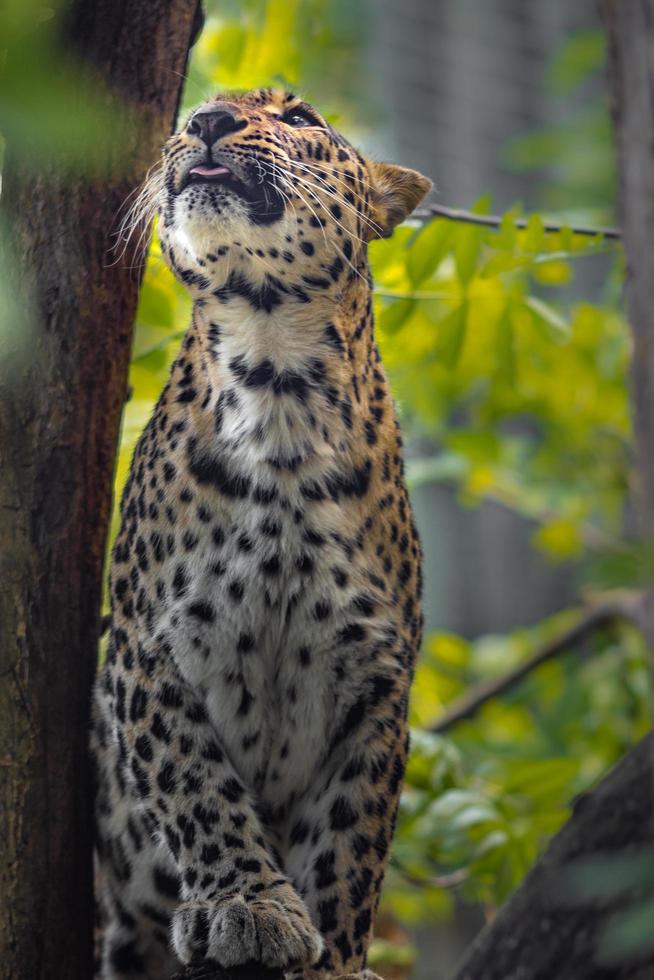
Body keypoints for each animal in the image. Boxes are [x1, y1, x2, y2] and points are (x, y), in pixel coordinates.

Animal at [91, 86, 430, 980]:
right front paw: (249, 904)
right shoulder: (150, 648)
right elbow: (194, 780)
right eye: (195, 112)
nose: (207, 123)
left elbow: (351, 838)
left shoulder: (378, 680)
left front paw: (334, 958)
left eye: (300, 116)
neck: (277, 377)